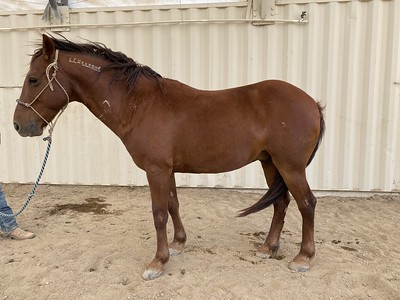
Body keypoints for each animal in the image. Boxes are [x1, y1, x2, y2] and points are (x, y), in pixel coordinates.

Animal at [13, 34, 324, 280]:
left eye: (33, 79)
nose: (18, 125)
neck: (140, 104)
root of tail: (312, 102)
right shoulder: (167, 170)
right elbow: (173, 205)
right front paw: (177, 245)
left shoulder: (156, 170)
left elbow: (159, 213)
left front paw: (157, 262)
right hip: (270, 163)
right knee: (281, 203)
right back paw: (268, 248)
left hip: (290, 166)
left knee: (307, 203)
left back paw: (303, 258)